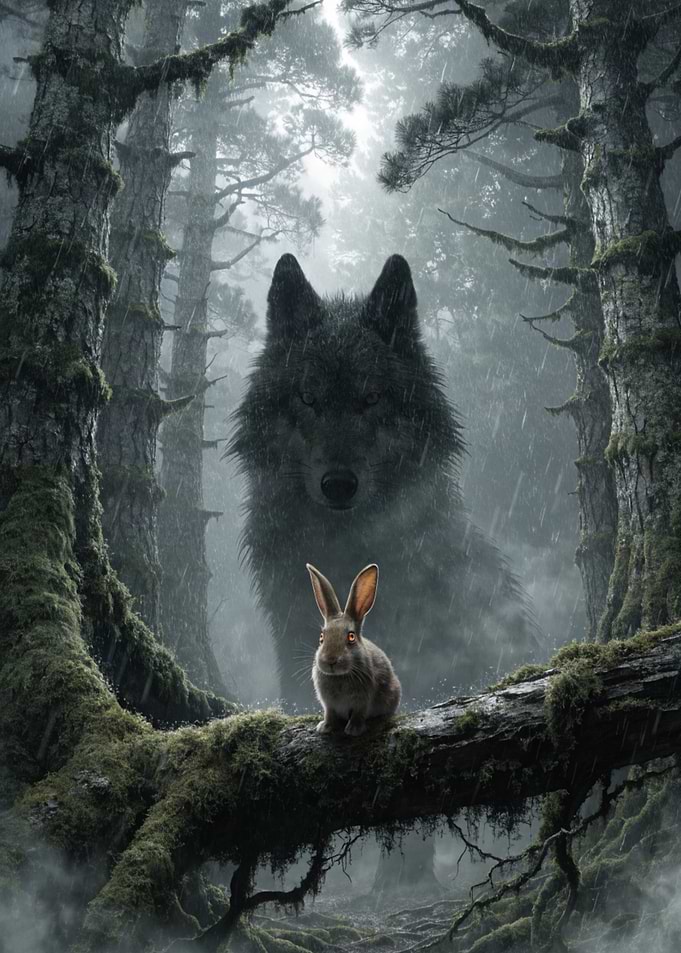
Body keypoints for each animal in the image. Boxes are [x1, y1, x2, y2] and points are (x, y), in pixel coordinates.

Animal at [306, 562, 401, 737]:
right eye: (322, 637)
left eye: (351, 637)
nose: (330, 660)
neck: (339, 676)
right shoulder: (328, 704)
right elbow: (329, 714)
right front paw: (325, 727)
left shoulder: (362, 701)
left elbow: (358, 714)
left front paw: (353, 730)